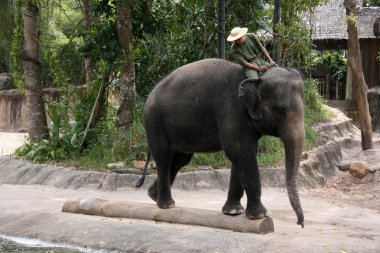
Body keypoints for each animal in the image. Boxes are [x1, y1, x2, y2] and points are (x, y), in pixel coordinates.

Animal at [137, 57, 306, 227]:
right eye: (279, 110)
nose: (300, 223)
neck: (256, 77)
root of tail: (151, 93)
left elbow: (243, 155)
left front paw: (233, 212)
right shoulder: (232, 112)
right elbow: (240, 152)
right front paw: (260, 215)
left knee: (180, 160)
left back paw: (153, 196)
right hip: (154, 120)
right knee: (164, 157)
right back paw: (166, 205)